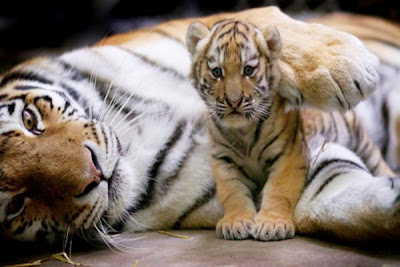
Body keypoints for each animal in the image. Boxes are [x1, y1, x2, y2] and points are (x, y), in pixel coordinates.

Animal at [0, 6, 396, 245]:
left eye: (30, 120)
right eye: (16, 204)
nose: (94, 174)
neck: (135, 139)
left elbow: (255, 20)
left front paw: (345, 67)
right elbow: (336, 203)